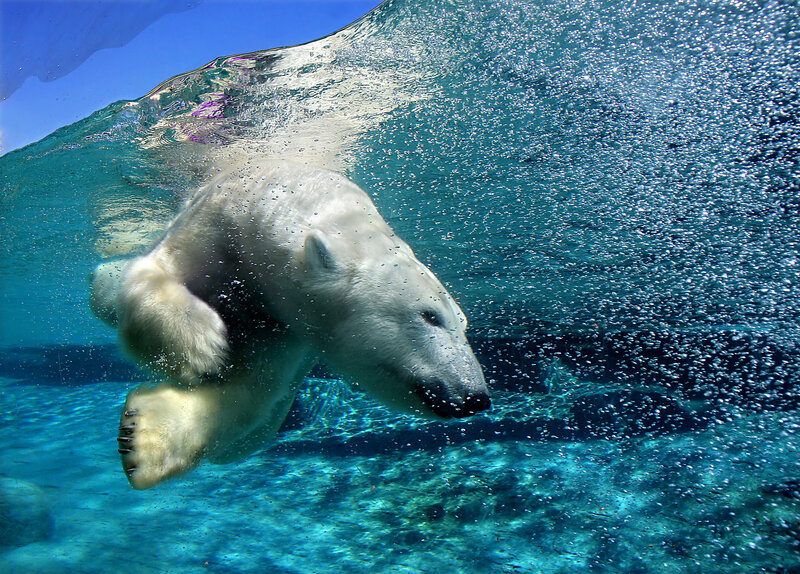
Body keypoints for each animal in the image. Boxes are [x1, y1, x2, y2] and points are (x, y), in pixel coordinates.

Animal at [90, 161, 489, 489]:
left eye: (464, 325)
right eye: (430, 316)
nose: (475, 397)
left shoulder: (288, 329)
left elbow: (252, 390)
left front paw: (141, 437)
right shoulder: (215, 224)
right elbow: (155, 272)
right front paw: (201, 345)